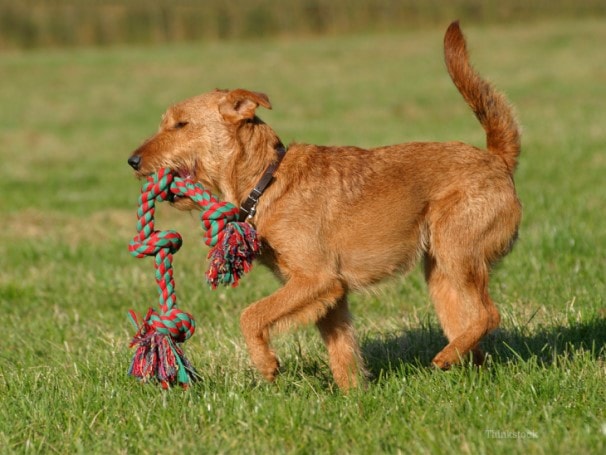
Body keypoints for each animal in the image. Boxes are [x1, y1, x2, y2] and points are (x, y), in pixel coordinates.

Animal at [128, 22, 524, 392]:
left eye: (181, 124)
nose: (132, 161)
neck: (267, 182)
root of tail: (496, 158)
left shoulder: (316, 279)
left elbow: (251, 315)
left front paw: (267, 365)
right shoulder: (329, 295)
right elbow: (342, 351)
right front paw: (353, 397)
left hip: (457, 253)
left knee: (489, 314)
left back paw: (444, 358)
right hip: (441, 275)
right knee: (473, 331)